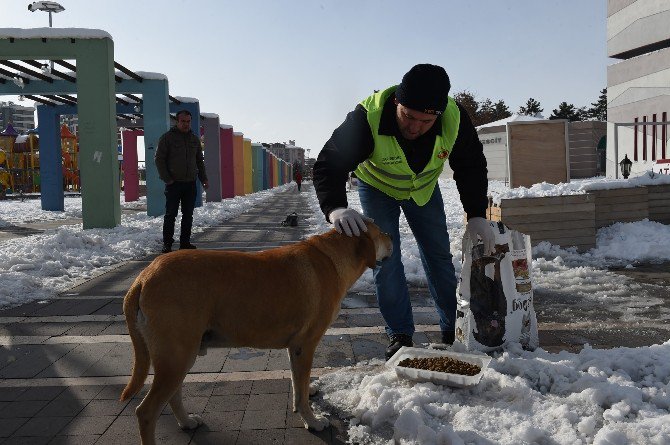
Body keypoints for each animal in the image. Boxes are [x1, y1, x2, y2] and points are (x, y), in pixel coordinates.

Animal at [121, 222, 394, 444]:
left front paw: (305, 397)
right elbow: (301, 389)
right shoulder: (305, 345)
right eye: (380, 230)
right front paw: (313, 421)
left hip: (179, 356)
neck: (333, 256)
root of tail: (143, 277)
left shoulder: (294, 347)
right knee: (146, 412)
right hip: (177, 356)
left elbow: (297, 383)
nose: (392, 236)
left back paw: (187, 422)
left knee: (173, 396)